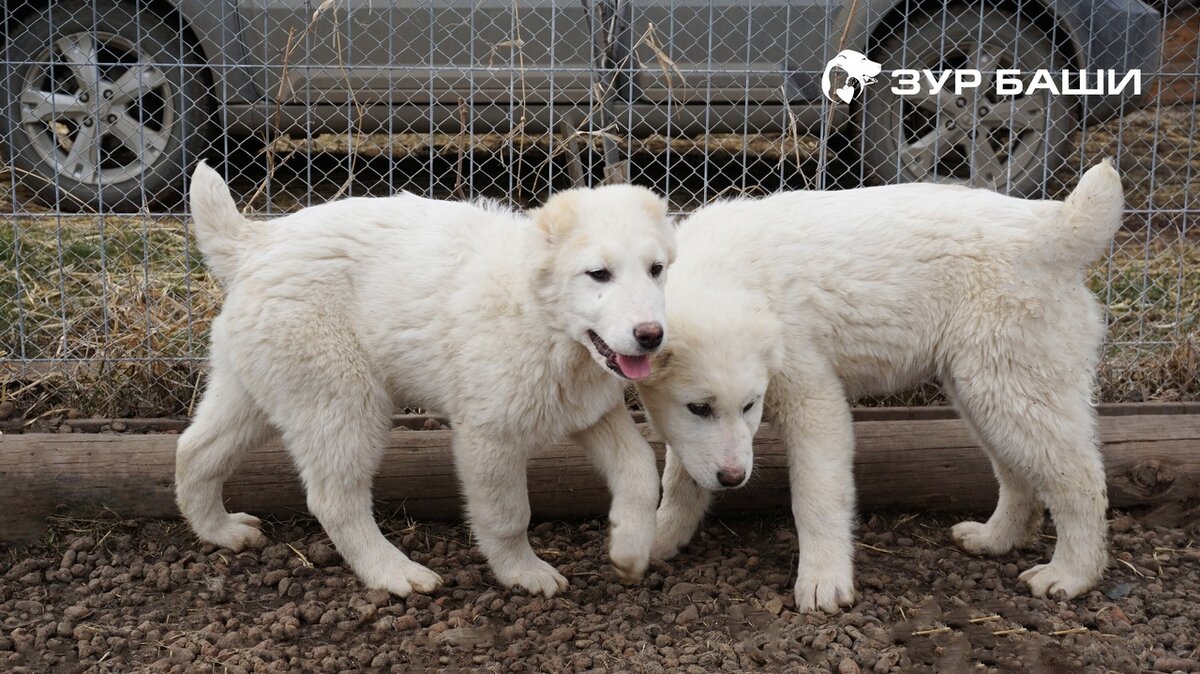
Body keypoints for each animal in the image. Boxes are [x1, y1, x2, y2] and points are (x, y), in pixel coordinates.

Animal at [175, 161, 676, 592]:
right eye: (598, 274)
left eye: (656, 270)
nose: (652, 335)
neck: (543, 320)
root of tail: (255, 242)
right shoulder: (489, 437)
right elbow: (508, 516)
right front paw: (523, 573)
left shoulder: (593, 411)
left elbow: (640, 470)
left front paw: (630, 549)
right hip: (343, 402)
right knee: (334, 500)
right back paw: (394, 572)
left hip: (256, 390)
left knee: (195, 450)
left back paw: (220, 531)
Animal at [638, 161, 1123, 609]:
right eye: (698, 408)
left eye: (750, 406)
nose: (734, 479)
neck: (725, 274)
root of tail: (1052, 225)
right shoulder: (696, 434)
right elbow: (680, 478)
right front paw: (658, 539)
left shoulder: (814, 401)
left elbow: (816, 498)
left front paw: (823, 582)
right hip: (984, 391)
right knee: (1017, 473)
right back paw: (995, 538)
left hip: (1011, 386)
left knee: (1080, 478)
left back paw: (1071, 574)